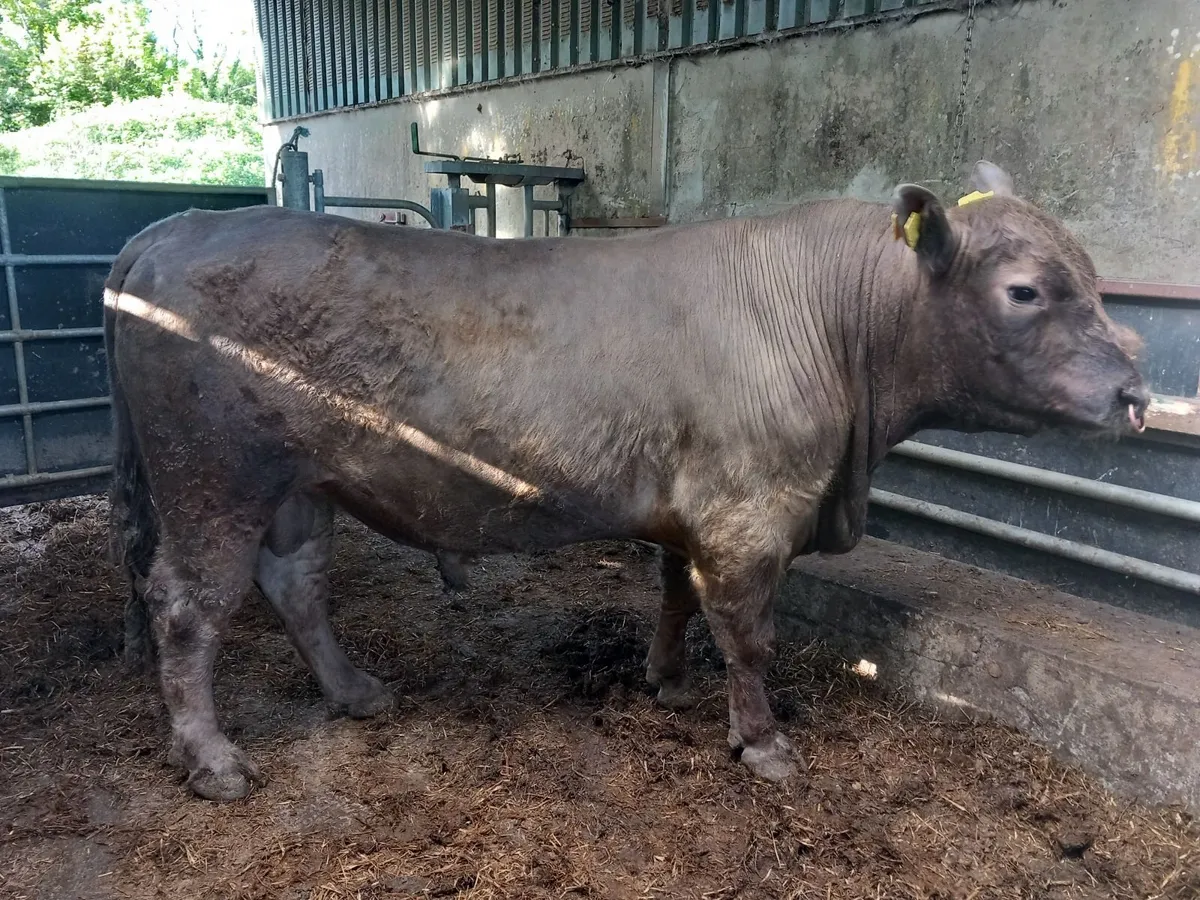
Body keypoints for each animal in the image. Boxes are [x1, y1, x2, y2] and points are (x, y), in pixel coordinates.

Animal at [103, 161, 1148, 801]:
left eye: (1094, 278)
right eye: (1025, 290)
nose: (1137, 392)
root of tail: (173, 227)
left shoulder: (695, 514)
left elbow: (677, 594)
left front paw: (667, 681)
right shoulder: (751, 516)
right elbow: (750, 636)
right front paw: (762, 744)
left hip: (296, 487)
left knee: (295, 583)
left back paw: (356, 691)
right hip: (215, 480)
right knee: (187, 606)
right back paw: (212, 759)